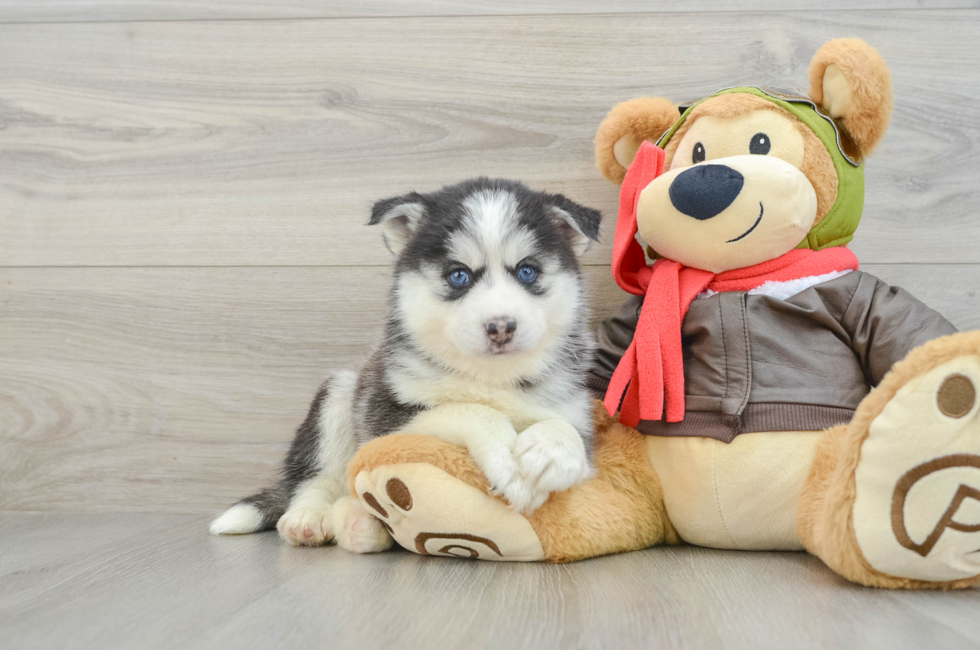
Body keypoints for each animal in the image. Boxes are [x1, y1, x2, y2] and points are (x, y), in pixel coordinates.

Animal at [211, 177, 600, 552]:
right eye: (458, 275)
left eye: (527, 271)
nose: (501, 327)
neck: (489, 377)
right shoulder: (387, 417)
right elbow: (471, 409)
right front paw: (505, 456)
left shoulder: (574, 411)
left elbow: (568, 433)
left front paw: (548, 453)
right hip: (340, 393)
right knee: (317, 476)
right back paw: (310, 516)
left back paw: (361, 525)